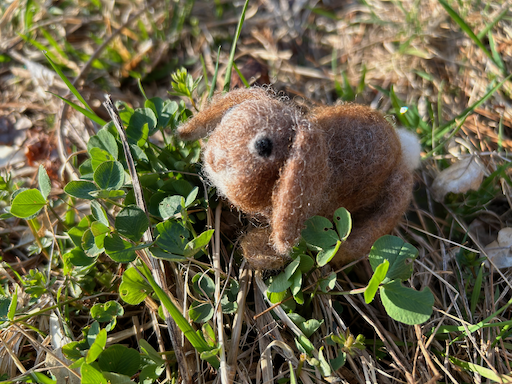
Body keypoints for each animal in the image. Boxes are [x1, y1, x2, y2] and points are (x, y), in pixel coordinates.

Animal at [178, 88, 418, 268]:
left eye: (263, 146)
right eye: (228, 115)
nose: (213, 159)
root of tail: (402, 148)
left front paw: (259, 249)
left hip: (396, 192)